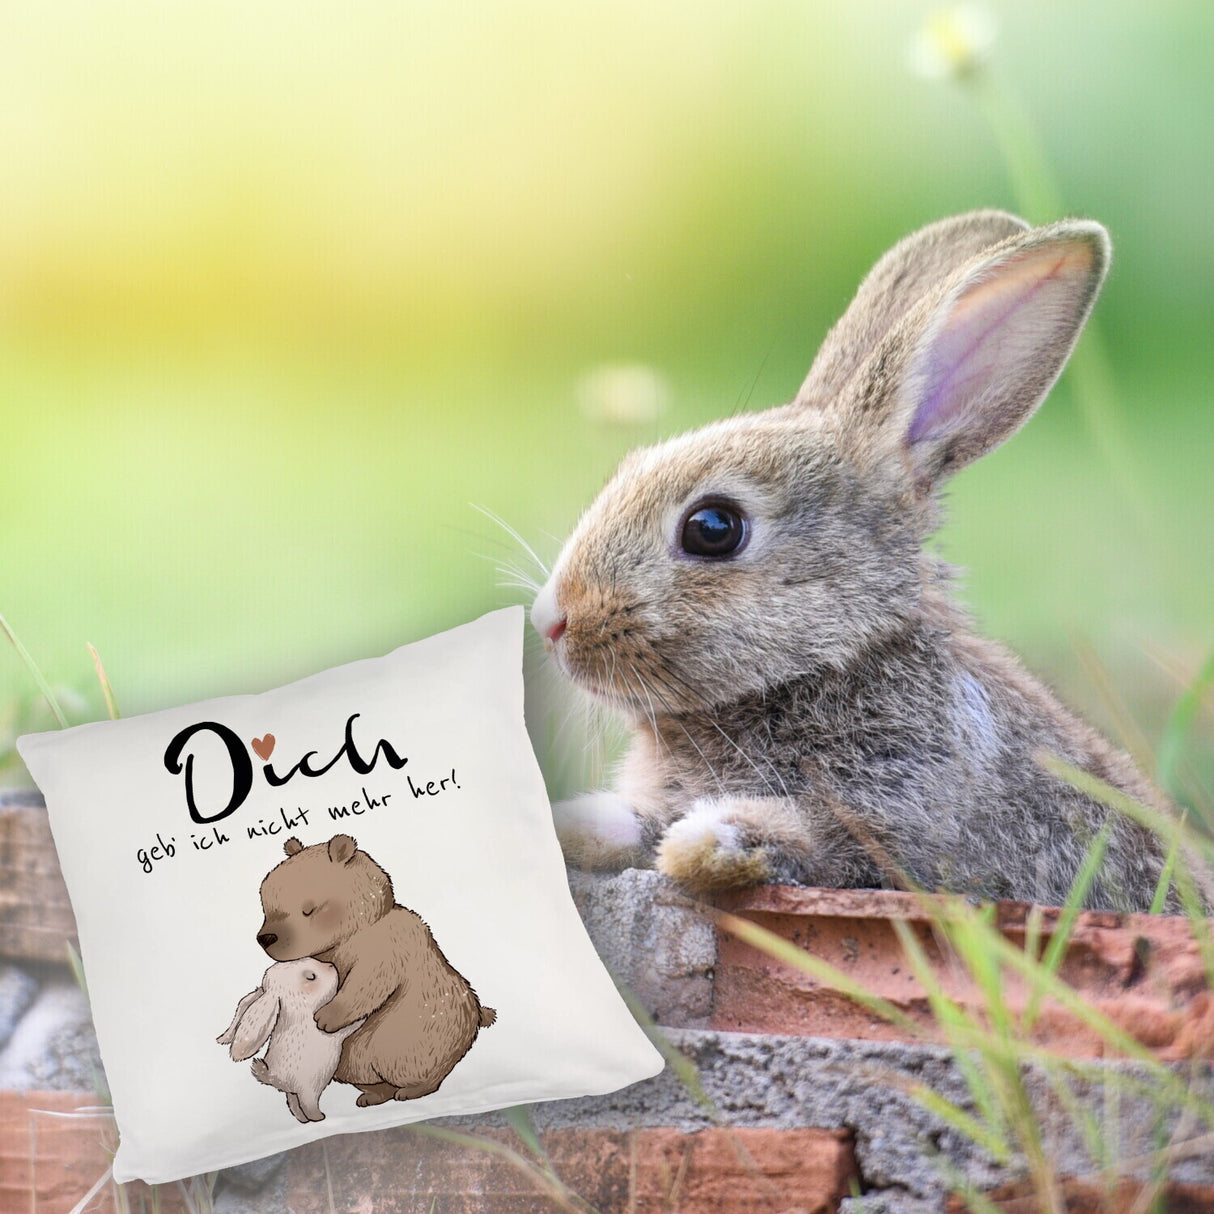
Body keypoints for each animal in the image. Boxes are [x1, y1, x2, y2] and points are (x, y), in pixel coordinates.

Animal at [216, 958, 365, 1123]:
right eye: (311, 977)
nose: (331, 965)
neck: (302, 1008)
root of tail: (274, 1078)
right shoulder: (331, 1032)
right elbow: (348, 1026)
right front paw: (365, 1016)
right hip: (310, 1090)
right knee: (308, 1106)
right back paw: (319, 1117)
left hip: (294, 1093)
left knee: (294, 1105)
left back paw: (303, 1120)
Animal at [256, 833, 495, 1106]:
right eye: (265, 906)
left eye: (309, 909)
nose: (266, 938)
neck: (355, 929)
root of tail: (476, 1013)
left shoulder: (388, 946)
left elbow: (367, 981)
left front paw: (325, 1017)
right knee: (356, 1067)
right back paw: (373, 1094)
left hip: (418, 1038)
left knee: (409, 1066)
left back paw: (410, 1090)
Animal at [530, 209, 1182, 913]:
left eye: (713, 528)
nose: (551, 621)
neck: (828, 663)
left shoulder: (896, 827)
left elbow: (802, 842)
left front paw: (708, 843)